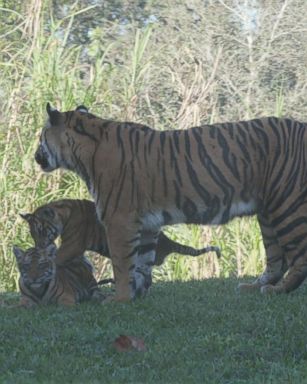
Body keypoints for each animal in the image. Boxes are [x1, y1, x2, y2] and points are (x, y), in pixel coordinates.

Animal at [34, 103, 307, 302]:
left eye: (41, 137)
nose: (36, 156)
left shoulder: (119, 220)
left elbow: (122, 264)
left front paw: (119, 298)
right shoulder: (146, 224)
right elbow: (140, 263)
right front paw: (137, 294)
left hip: (287, 205)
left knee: (299, 258)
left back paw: (276, 291)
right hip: (268, 213)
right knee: (277, 259)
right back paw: (253, 286)